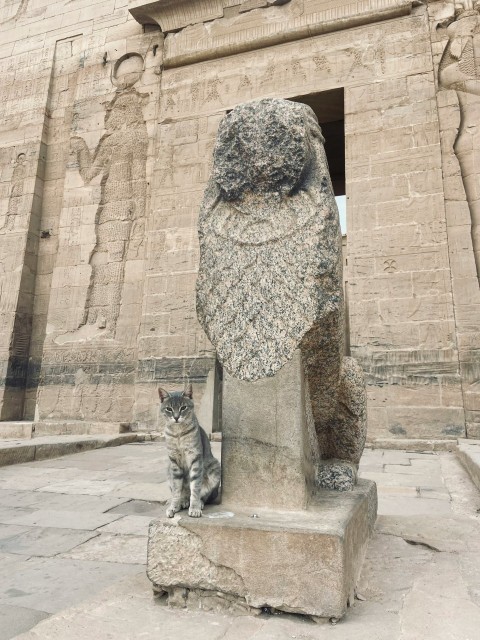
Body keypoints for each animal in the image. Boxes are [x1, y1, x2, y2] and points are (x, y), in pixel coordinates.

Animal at [160, 382, 222, 516]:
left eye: (183, 408)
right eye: (169, 409)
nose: (176, 417)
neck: (178, 433)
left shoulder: (195, 458)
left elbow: (195, 487)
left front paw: (194, 508)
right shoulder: (174, 462)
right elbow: (177, 489)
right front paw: (174, 506)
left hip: (215, 467)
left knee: (205, 495)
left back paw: (199, 503)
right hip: (168, 469)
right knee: (183, 493)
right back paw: (183, 501)